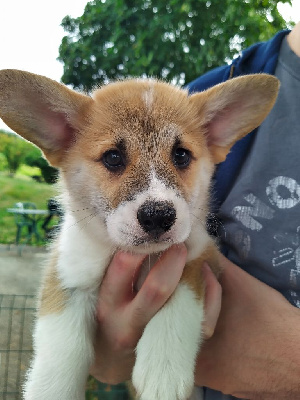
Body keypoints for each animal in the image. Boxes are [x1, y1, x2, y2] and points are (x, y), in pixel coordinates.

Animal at [0, 69, 278, 400]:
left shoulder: (200, 256)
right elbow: (61, 348)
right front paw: (51, 387)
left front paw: (163, 370)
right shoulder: (68, 276)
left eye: (181, 155)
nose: (158, 216)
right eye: (113, 157)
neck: (139, 259)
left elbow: (179, 297)